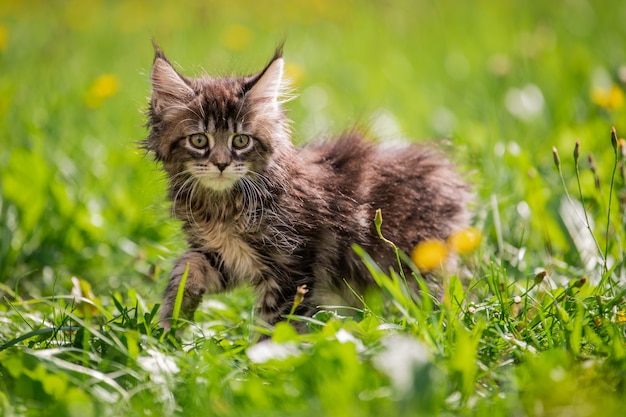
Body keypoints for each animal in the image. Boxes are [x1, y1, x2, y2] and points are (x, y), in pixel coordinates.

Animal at [145, 44, 468, 332]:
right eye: (199, 140)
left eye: (241, 141)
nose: (221, 164)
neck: (223, 205)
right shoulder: (225, 256)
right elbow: (186, 265)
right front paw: (171, 320)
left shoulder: (294, 265)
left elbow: (275, 326)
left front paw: (261, 359)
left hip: (416, 263)